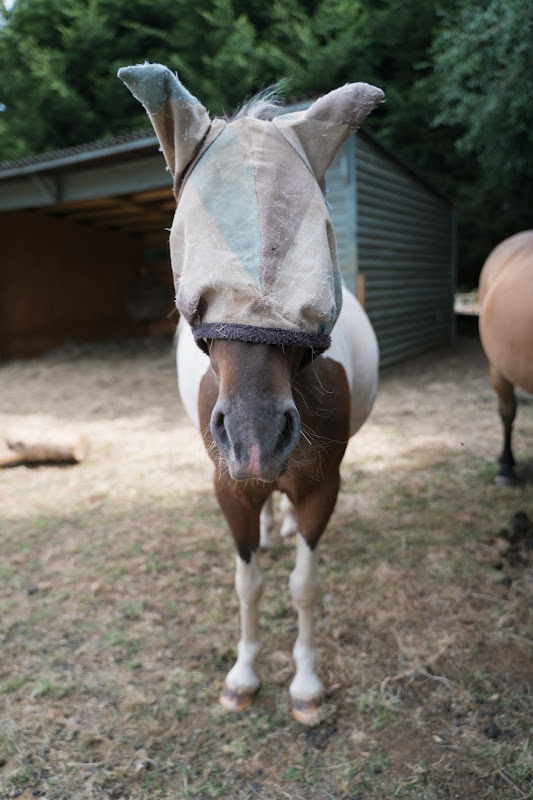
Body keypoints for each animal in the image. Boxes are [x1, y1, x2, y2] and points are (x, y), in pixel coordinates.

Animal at [119, 63, 383, 724]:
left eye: (322, 235)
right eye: (185, 249)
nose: (255, 438)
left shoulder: (321, 486)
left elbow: (303, 586)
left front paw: (306, 685)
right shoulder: (230, 487)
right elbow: (249, 581)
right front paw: (242, 676)